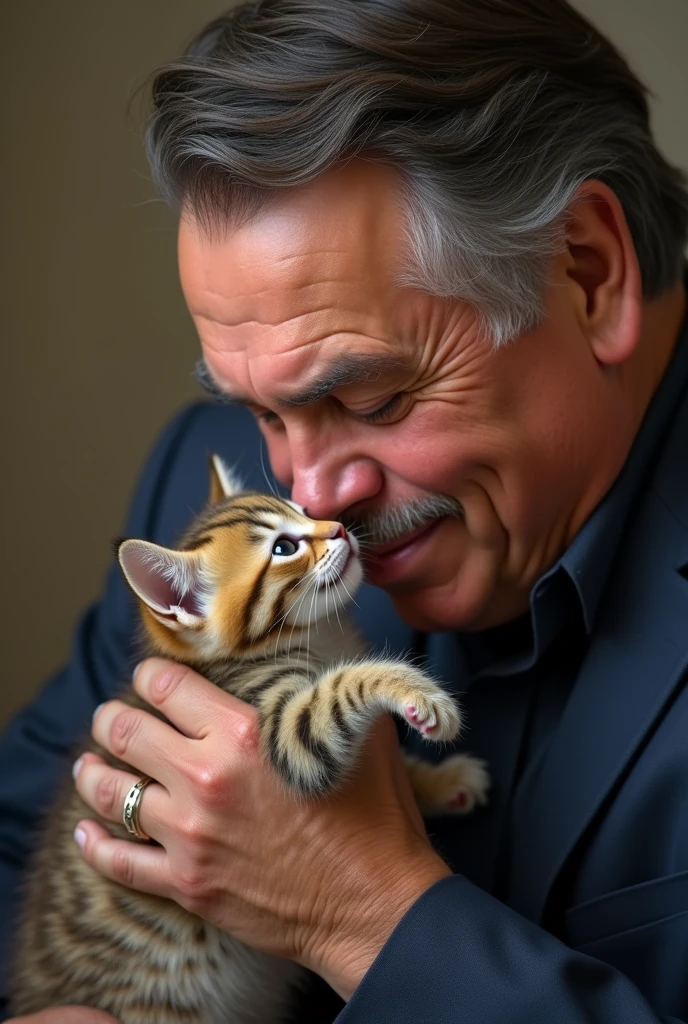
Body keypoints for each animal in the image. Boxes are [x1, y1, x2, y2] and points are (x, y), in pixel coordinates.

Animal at [14, 458, 489, 1024]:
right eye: (283, 548)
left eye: (304, 509)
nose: (339, 527)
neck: (318, 637)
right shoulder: (284, 726)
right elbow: (344, 685)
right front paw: (417, 693)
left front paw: (445, 781)